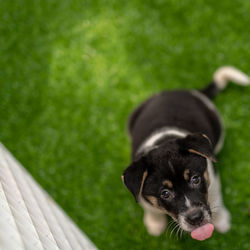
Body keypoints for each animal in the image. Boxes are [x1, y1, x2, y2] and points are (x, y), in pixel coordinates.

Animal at [122, 66, 249, 240]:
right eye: (165, 193)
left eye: (195, 179)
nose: (196, 218)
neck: (163, 140)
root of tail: (191, 92)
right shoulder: (140, 192)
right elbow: (151, 208)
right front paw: (155, 224)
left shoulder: (212, 176)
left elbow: (215, 196)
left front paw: (221, 220)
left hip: (219, 128)